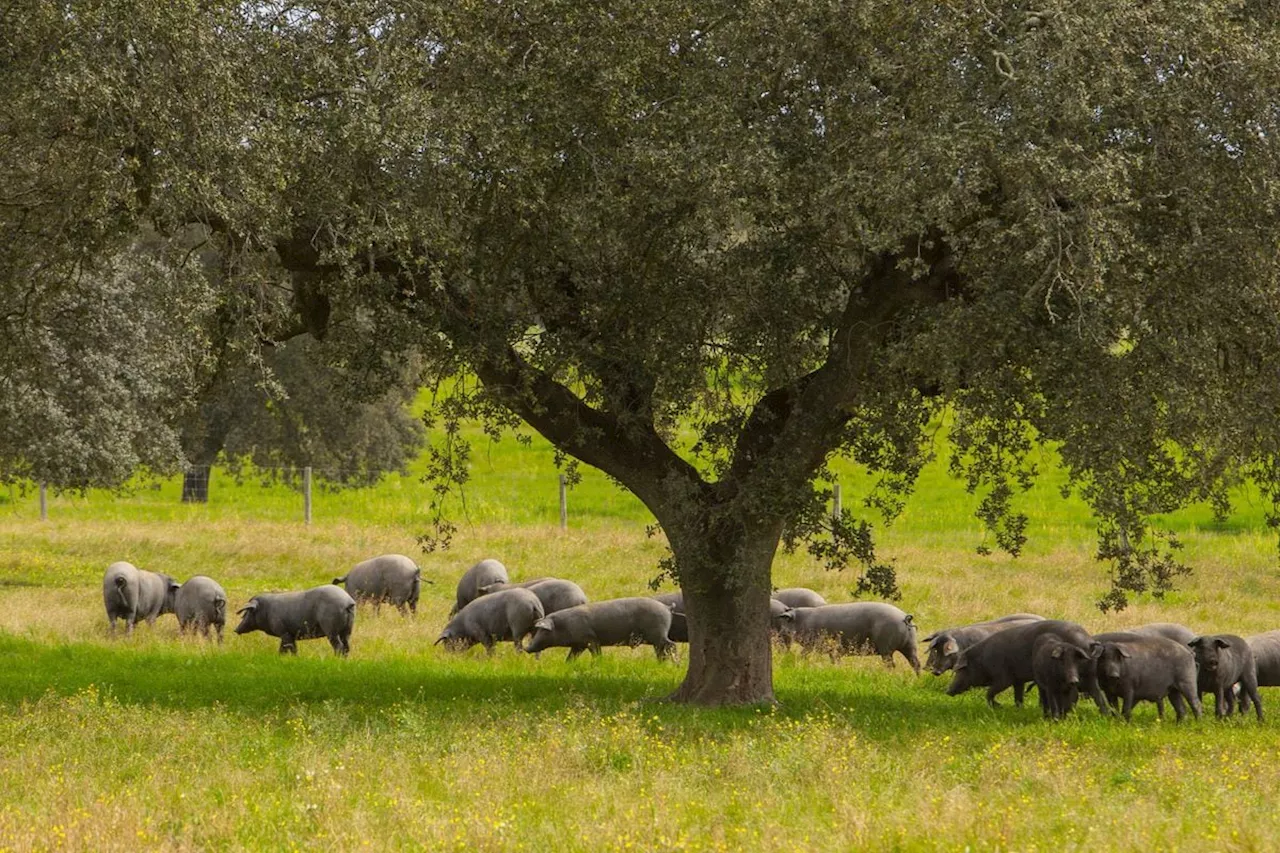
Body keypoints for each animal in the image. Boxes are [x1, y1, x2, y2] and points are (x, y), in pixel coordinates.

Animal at [522, 594, 675, 660]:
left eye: (544, 631)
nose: (527, 648)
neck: (565, 626)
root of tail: (666, 607)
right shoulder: (578, 645)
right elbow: (570, 658)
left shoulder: (591, 639)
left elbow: (597, 654)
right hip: (657, 636)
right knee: (661, 650)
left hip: (659, 632)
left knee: (671, 645)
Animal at [778, 596, 921, 671]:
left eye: (786, 620)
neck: (803, 621)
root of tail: (904, 617)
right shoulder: (833, 650)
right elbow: (834, 660)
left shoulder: (812, 644)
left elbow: (803, 654)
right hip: (910, 645)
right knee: (916, 663)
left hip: (886, 647)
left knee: (891, 665)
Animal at [942, 617, 1111, 712]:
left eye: (961, 670)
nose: (948, 690)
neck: (983, 660)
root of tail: (1089, 642)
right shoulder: (1018, 680)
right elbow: (1018, 695)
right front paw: (1019, 708)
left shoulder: (1003, 677)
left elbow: (989, 693)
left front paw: (1000, 707)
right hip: (1090, 674)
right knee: (1097, 694)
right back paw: (1105, 715)